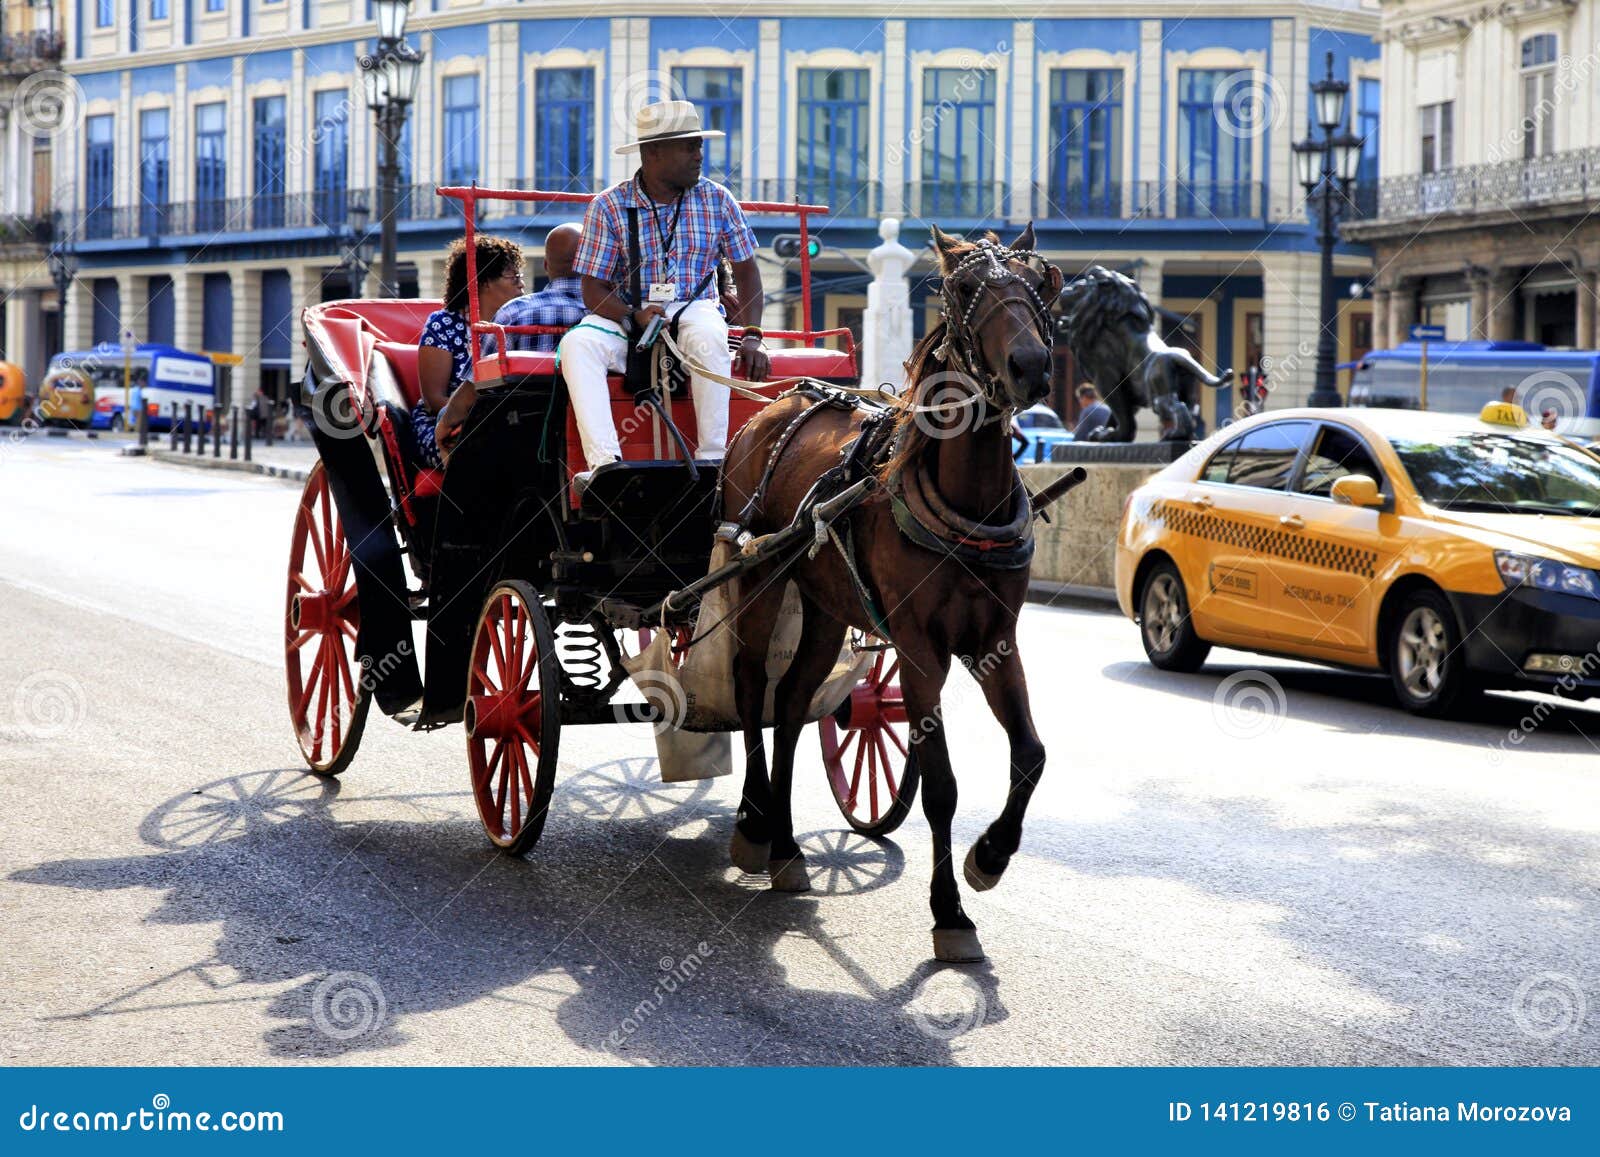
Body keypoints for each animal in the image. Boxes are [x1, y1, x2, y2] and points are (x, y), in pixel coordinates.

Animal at [720, 222, 1056, 966]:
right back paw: (755, 826)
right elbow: (942, 785)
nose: (1030, 364)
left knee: (792, 704)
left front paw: (991, 856)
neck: (967, 503)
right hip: (760, 578)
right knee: (752, 687)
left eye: (1038, 283)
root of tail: (780, 404)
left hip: (823, 605)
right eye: (965, 288)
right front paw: (949, 912)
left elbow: (1030, 754)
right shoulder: (920, 649)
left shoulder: (997, 641)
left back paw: (785, 845)